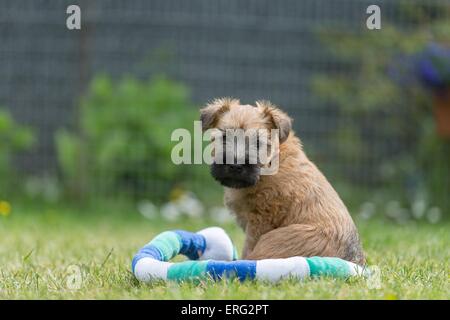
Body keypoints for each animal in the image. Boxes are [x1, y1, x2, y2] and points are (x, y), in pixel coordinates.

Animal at [200, 97, 366, 264]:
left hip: (273, 240)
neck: (269, 165)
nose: (235, 166)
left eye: (258, 143)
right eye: (224, 138)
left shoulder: (260, 221)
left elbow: (247, 251)